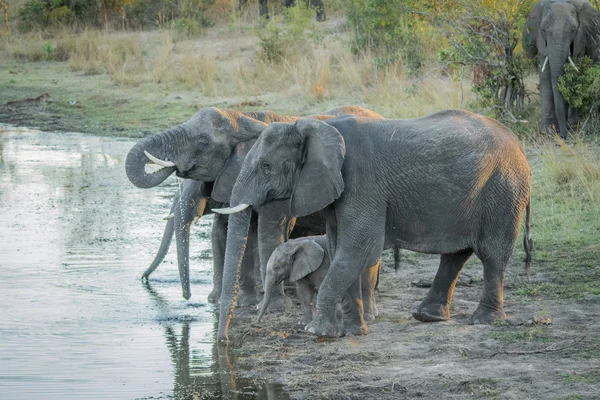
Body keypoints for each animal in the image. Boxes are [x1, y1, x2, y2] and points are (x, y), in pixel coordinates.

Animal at [216, 110, 536, 340]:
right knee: (456, 254)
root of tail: (519, 144)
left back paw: (484, 320)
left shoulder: (362, 183)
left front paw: (319, 332)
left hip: (504, 190)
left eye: (266, 167)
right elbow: (340, 250)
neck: (319, 127)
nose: (223, 342)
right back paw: (427, 316)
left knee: (492, 254)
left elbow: (356, 249)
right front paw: (353, 332)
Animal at [520, 0, 600, 139]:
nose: (563, 136)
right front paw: (546, 132)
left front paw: (573, 127)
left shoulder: (581, 38)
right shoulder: (541, 42)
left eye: (573, 30)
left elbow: (574, 72)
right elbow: (545, 75)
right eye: (543, 29)